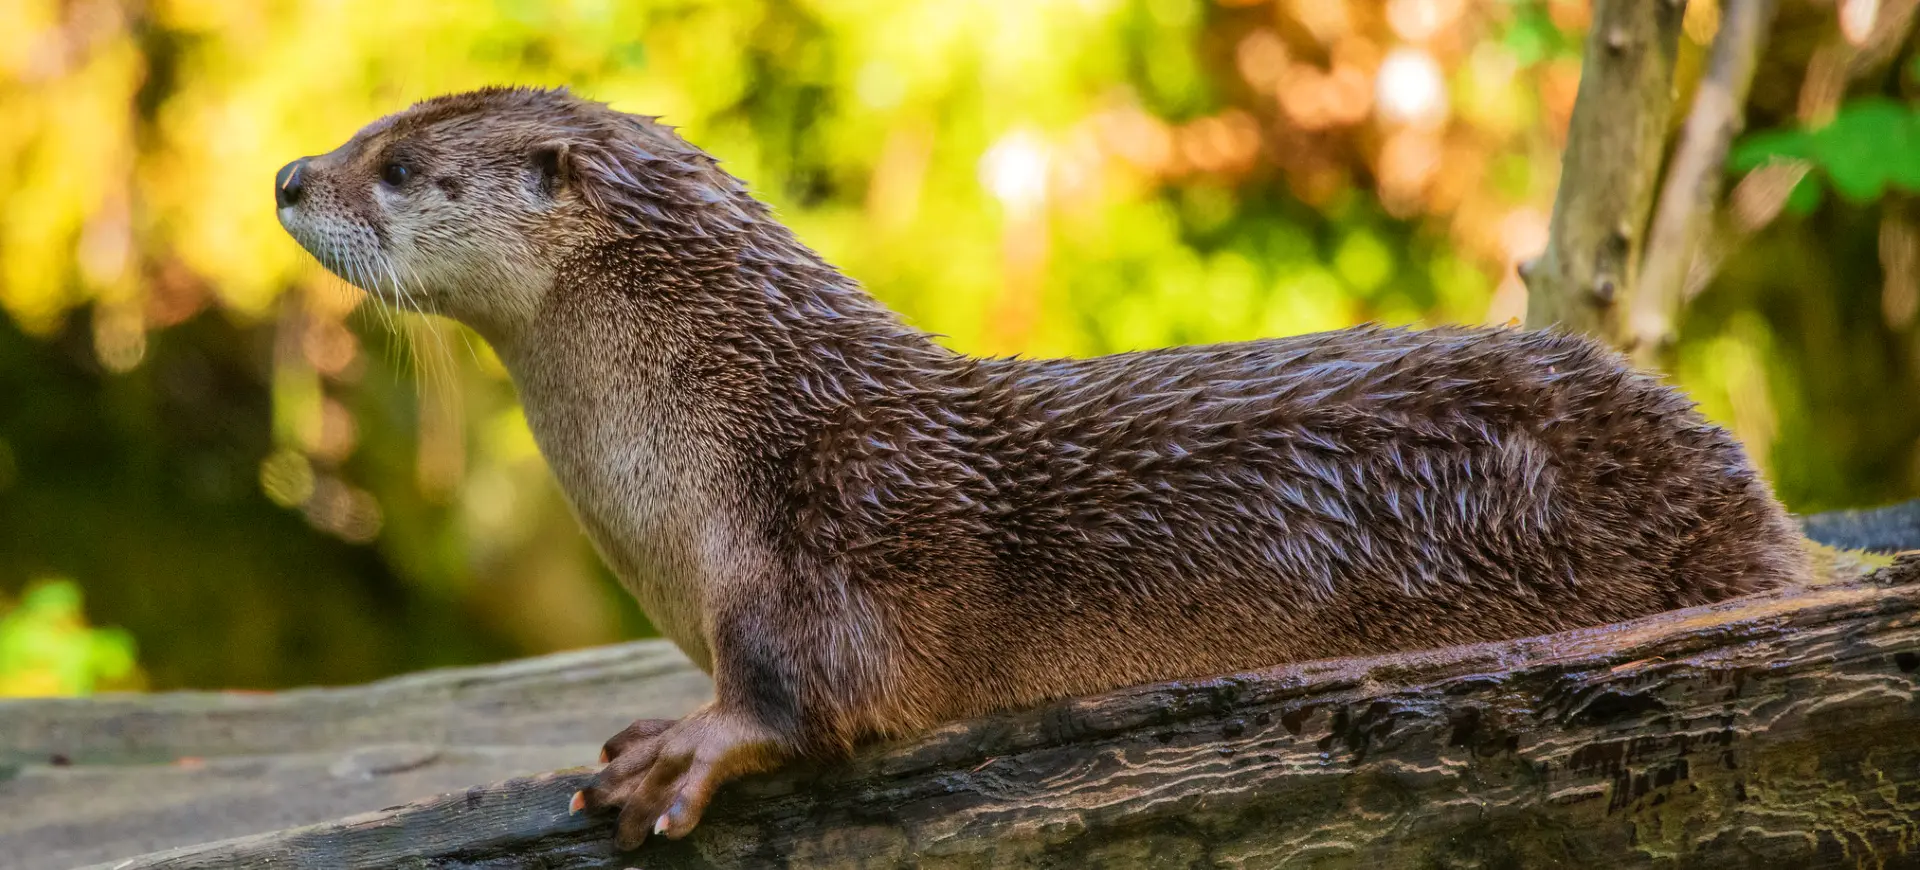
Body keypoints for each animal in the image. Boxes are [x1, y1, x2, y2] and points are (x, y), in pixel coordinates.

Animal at [274, 86, 1812, 848]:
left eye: (397, 164)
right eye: (358, 132)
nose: (289, 175)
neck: (717, 439)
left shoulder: (836, 520)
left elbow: (820, 683)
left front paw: (682, 745)